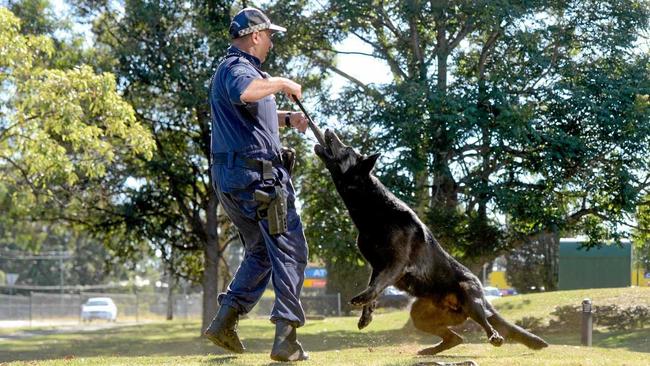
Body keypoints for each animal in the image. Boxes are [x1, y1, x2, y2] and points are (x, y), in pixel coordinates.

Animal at [314, 129, 548, 354]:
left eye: (347, 149)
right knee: (456, 337)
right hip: (419, 314)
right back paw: (429, 351)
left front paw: (362, 299)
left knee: (484, 323)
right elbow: (374, 286)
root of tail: (484, 298)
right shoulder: (377, 266)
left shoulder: (395, 263)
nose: (328, 129)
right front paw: (366, 314)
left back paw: (494, 337)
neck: (374, 211)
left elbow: (377, 284)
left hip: (469, 295)